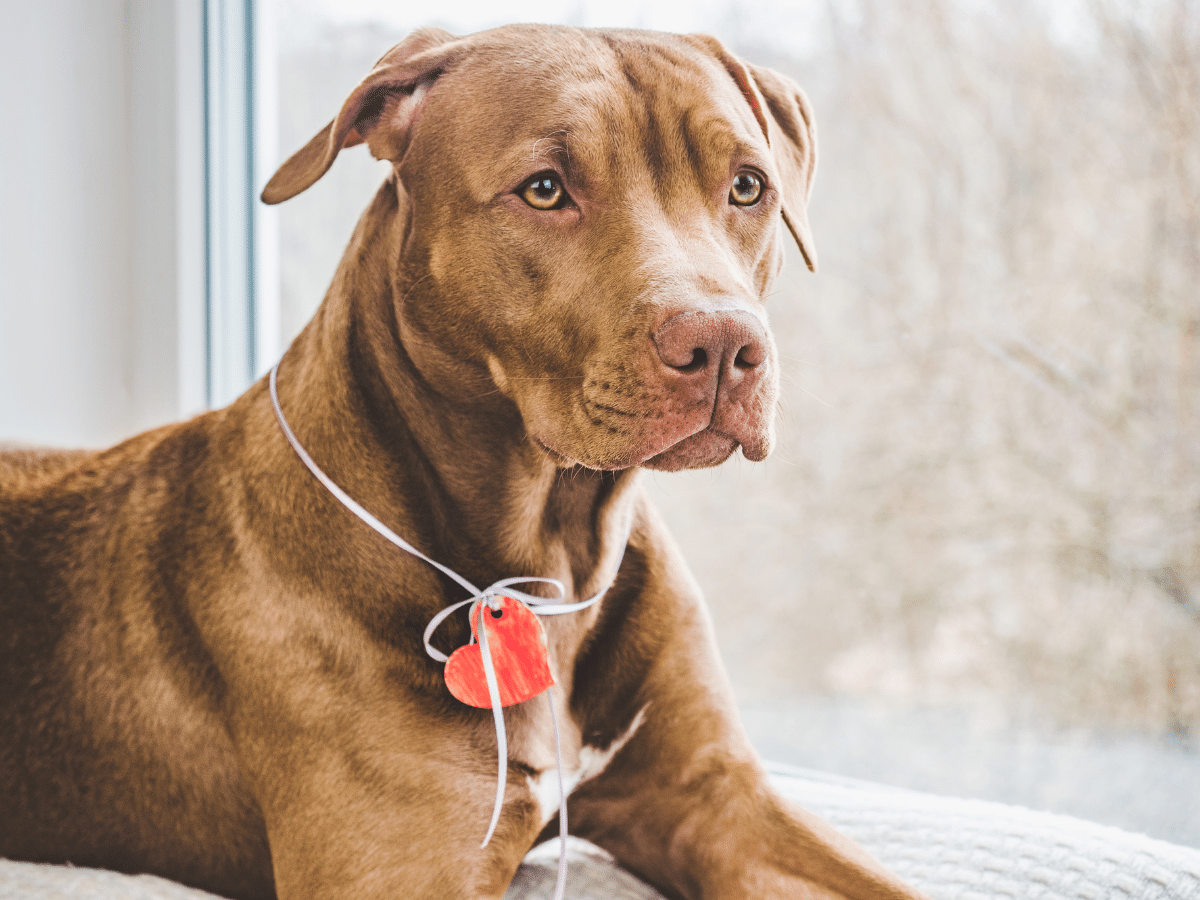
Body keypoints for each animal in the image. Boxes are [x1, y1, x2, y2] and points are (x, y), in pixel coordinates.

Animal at [0, 24, 926, 900]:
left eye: (747, 187)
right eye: (545, 188)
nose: (726, 345)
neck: (551, 553)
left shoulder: (719, 801)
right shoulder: (407, 867)